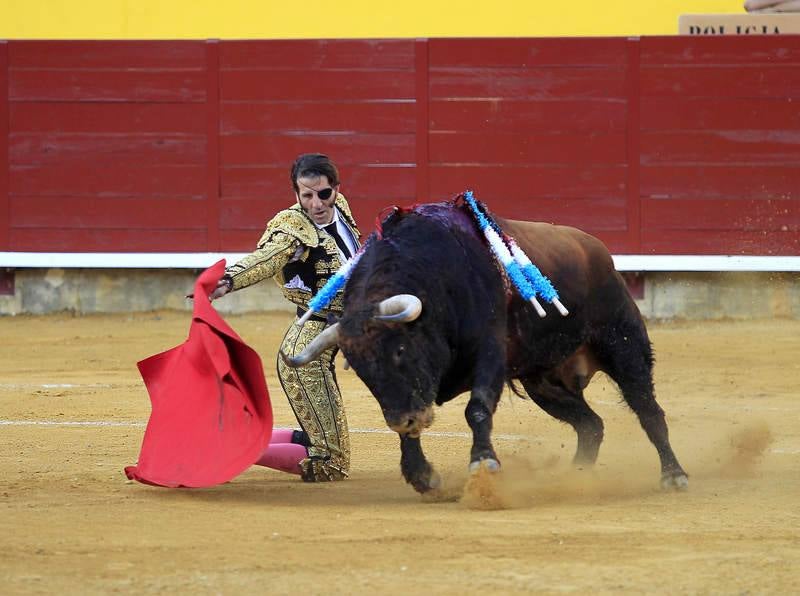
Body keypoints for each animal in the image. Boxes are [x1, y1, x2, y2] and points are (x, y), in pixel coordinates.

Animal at [282, 200, 688, 494]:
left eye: (399, 351)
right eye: (361, 370)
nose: (403, 419)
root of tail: (598, 251)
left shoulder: (490, 354)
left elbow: (476, 409)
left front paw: (483, 462)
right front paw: (422, 476)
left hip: (623, 345)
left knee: (648, 409)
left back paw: (673, 475)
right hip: (545, 383)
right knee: (591, 425)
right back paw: (577, 478)